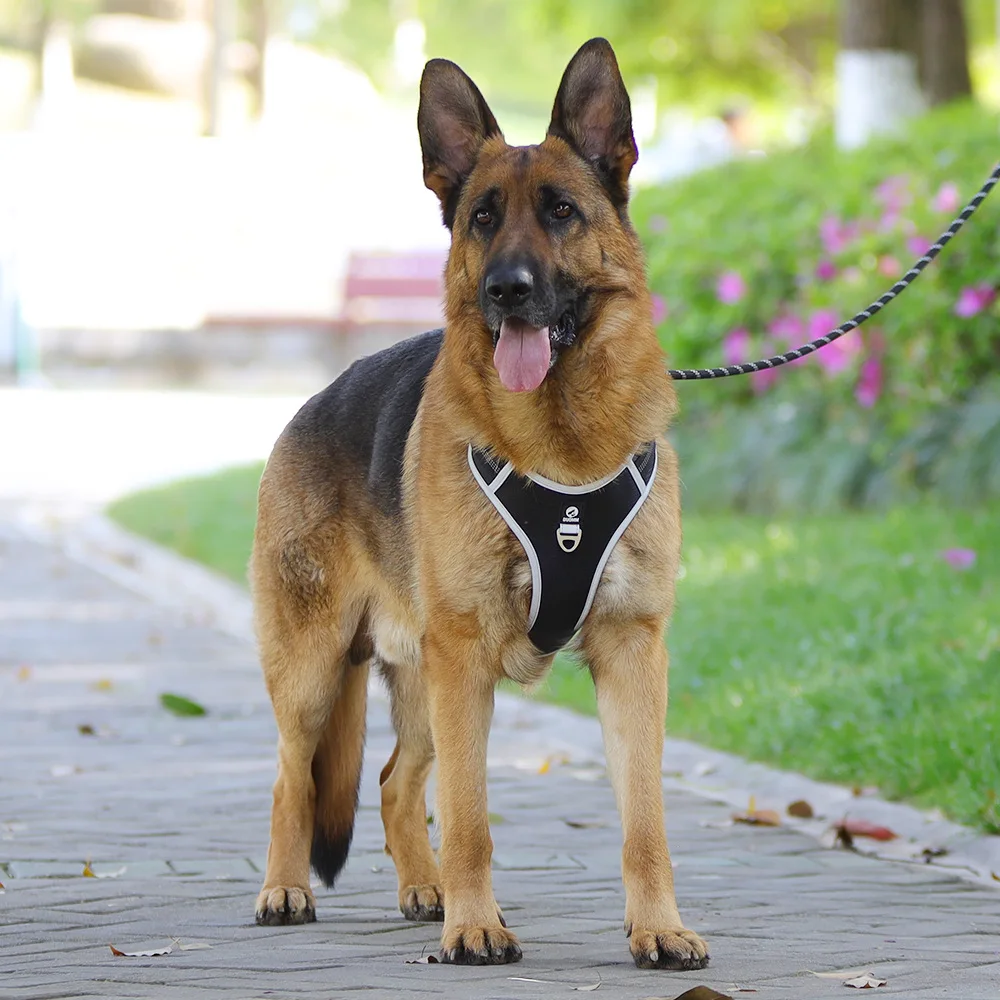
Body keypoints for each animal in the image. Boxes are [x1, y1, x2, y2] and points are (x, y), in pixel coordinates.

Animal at [250, 39, 708, 968]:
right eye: (483, 220)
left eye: (563, 212)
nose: (507, 289)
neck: (564, 443)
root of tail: (308, 406)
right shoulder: (466, 661)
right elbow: (469, 818)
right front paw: (475, 926)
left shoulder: (632, 653)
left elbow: (645, 825)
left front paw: (658, 927)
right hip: (320, 672)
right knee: (291, 776)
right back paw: (285, 889)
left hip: (423, 679)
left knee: (394, 781)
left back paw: (420, 889)